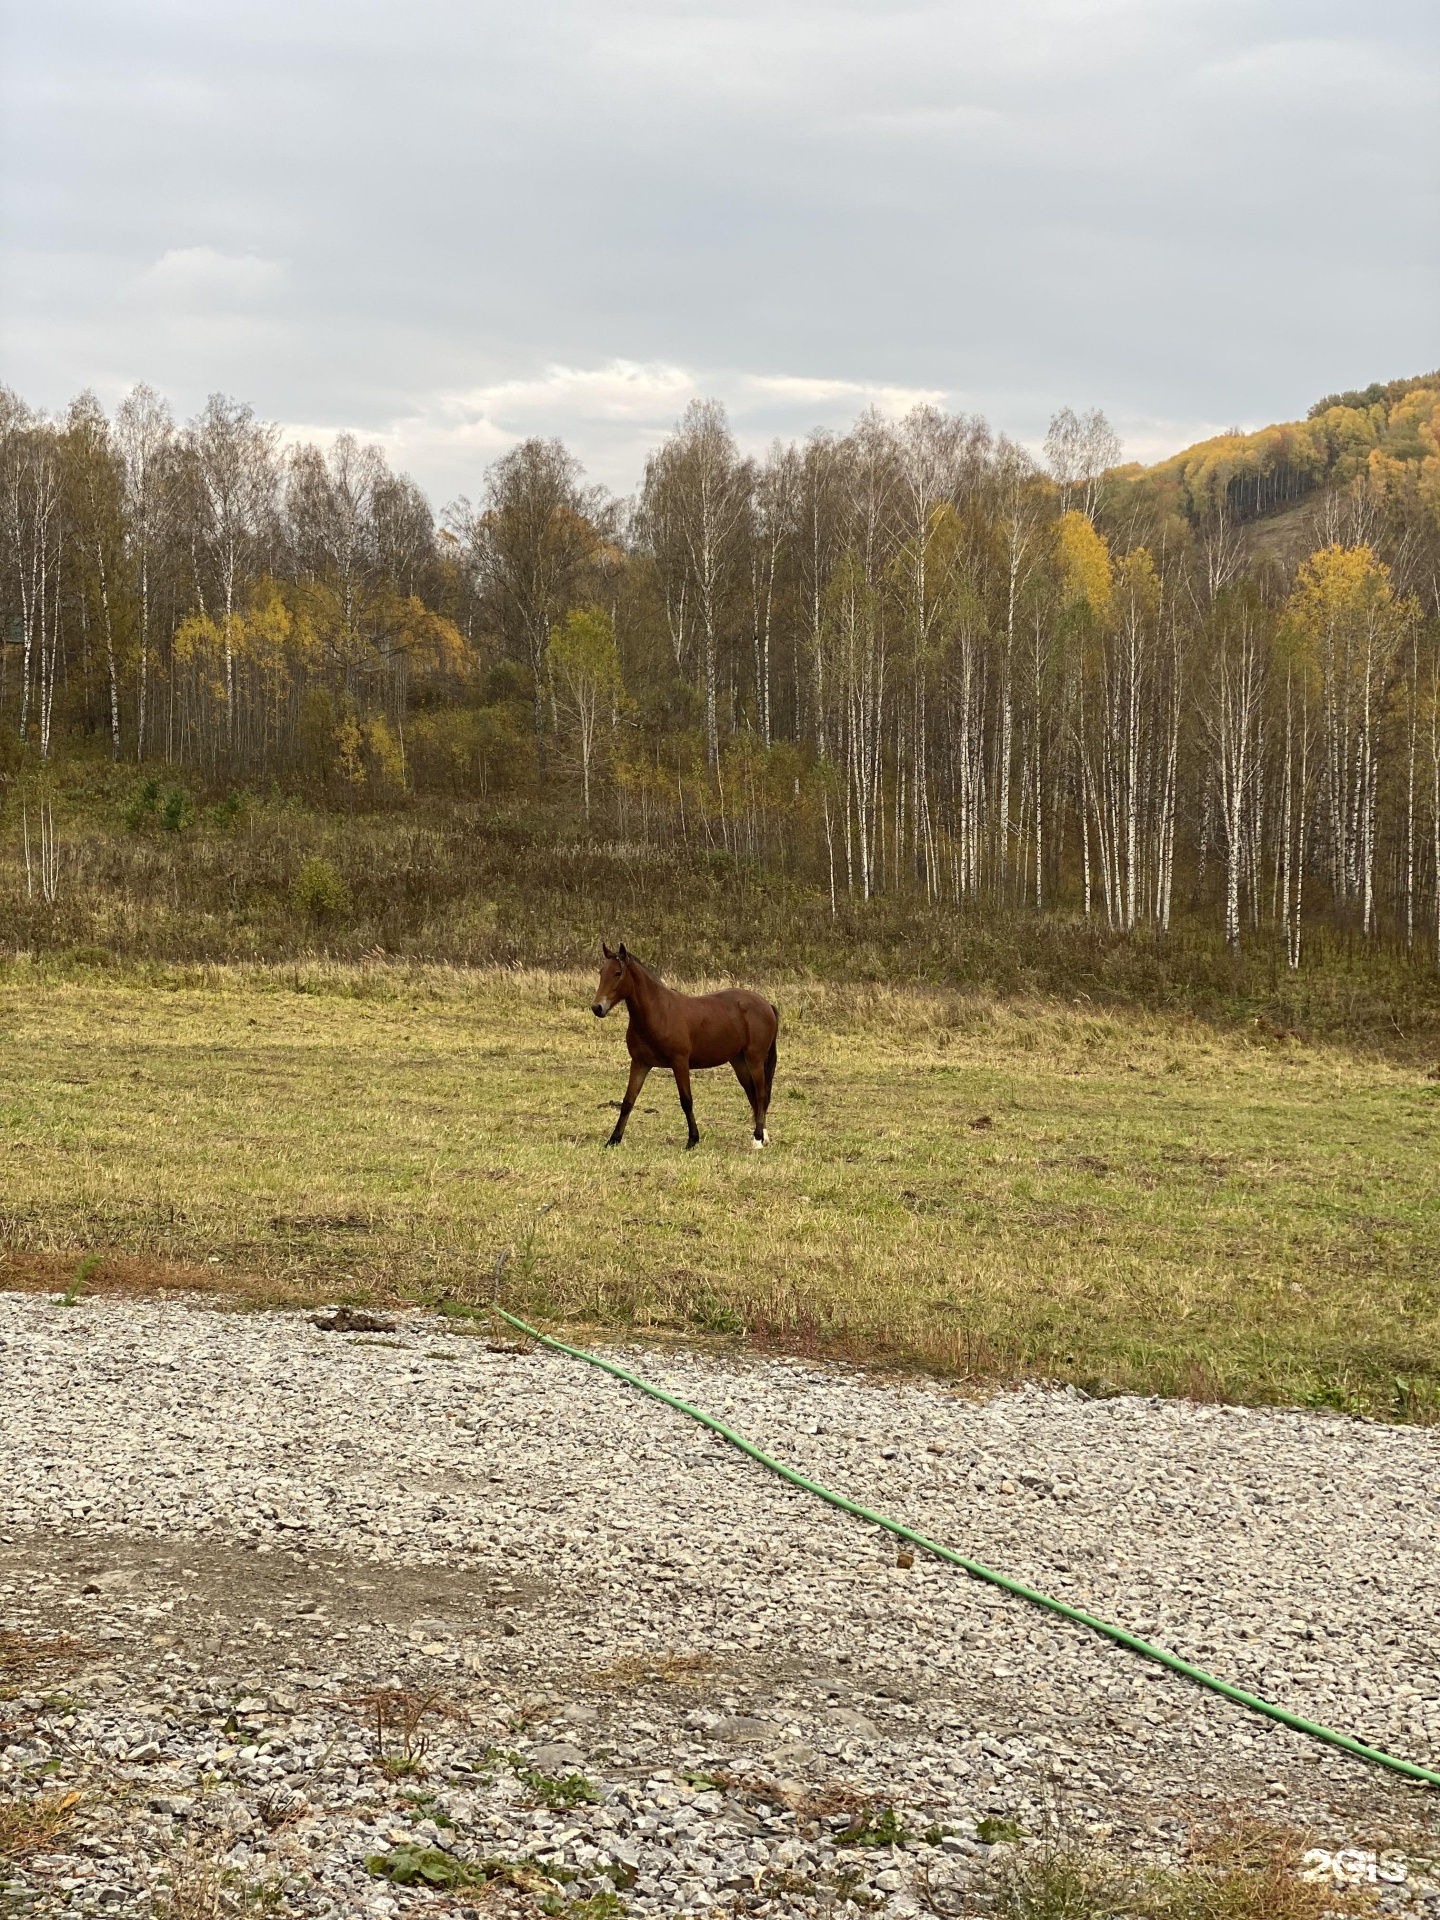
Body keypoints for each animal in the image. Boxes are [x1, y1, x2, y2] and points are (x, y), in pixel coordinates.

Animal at [595, 940, 783, 1144]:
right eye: (601, 972)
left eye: (617, 973)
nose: (597, 1007)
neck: (659, 1012)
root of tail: (766, 1005)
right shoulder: (639, 1064)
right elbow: (628, 1101)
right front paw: (613, 1140)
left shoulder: (680, 1063)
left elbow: (686, 1101)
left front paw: (693, 1139)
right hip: (739, 1061)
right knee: (752, 1094)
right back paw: (762, 1137)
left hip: (754, 1059)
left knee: (761, 1094)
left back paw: (758, 1139)